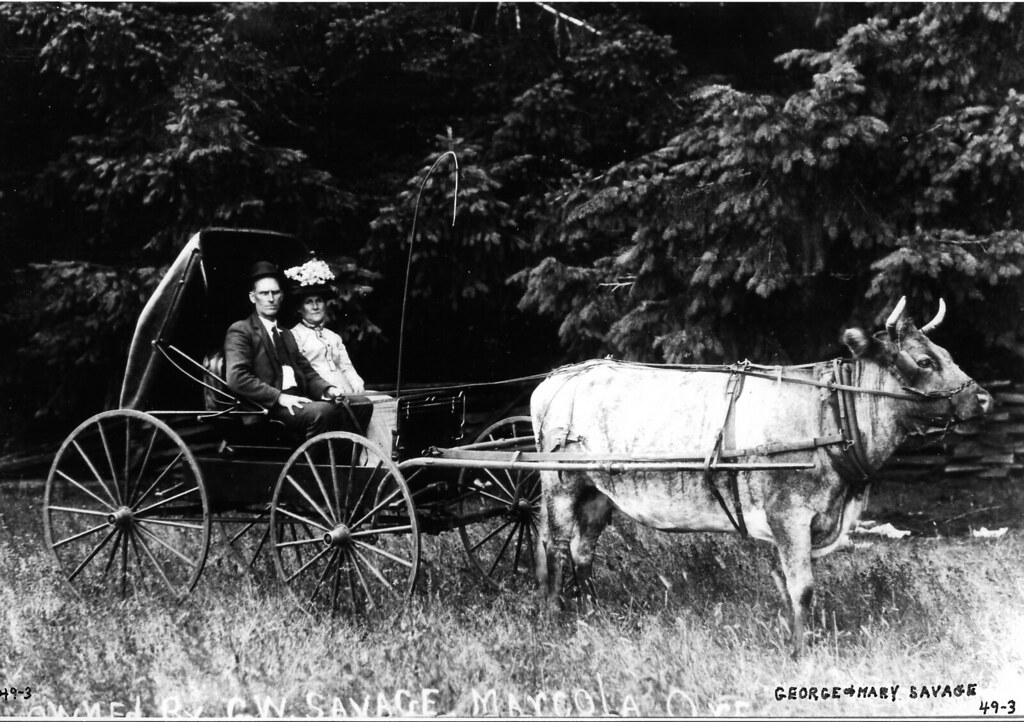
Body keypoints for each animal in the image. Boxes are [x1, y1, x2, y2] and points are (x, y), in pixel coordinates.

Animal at [530, 297, 990, 656]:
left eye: (946, 353)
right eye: (925, 361)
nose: (983, 397)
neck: (833, 415)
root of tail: (557, 377)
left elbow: (790, 586)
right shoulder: (789, 514)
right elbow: (803, 587)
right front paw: (801, 653)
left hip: (597, 489)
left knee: (583, 549)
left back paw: (591, 613)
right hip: (559, 483)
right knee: (555, 545)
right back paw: (554, 619)